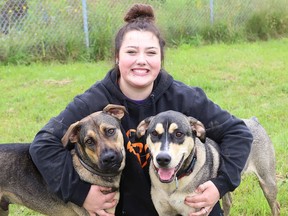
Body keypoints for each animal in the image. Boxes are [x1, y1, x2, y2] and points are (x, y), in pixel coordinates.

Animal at [136, 111, 280, 216]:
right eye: (154, 133)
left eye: (179, 134)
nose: (162, 159)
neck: (174, 182)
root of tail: (254, 120)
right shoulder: (164, 211)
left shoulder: (195, 211)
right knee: (228, 202)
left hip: (267, 181)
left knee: (276, 206)